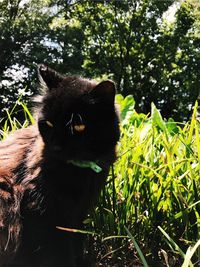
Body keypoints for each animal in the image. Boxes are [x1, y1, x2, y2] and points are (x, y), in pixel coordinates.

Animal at [0, 65, 120, 267]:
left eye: (79, 127)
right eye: (48, 123)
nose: (56, 146)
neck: (79, 171)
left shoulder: (80, 210)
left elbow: (76, 241)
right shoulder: (43, 210)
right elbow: (58, 251)